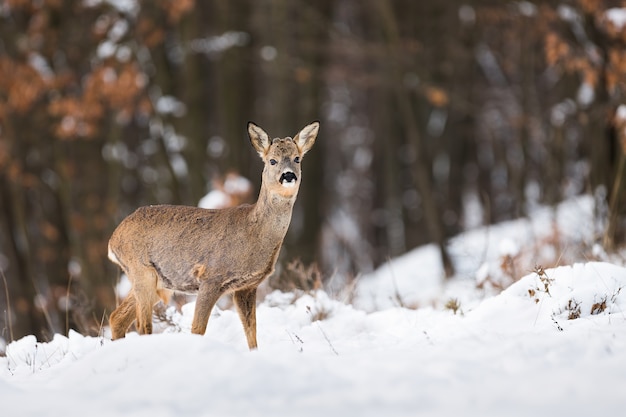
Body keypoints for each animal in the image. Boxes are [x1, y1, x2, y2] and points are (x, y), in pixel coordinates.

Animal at [106, 120, 316, 348]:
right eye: (272, 160)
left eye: (297, 158)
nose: (288, 175)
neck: (254, 234)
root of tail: (112, 239)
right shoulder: (211, 276)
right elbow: (197, 329)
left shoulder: (247, 287)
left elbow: (252, 334)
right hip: (141, 270)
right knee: (142, 325)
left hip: (158, 280)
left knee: (117, 318)